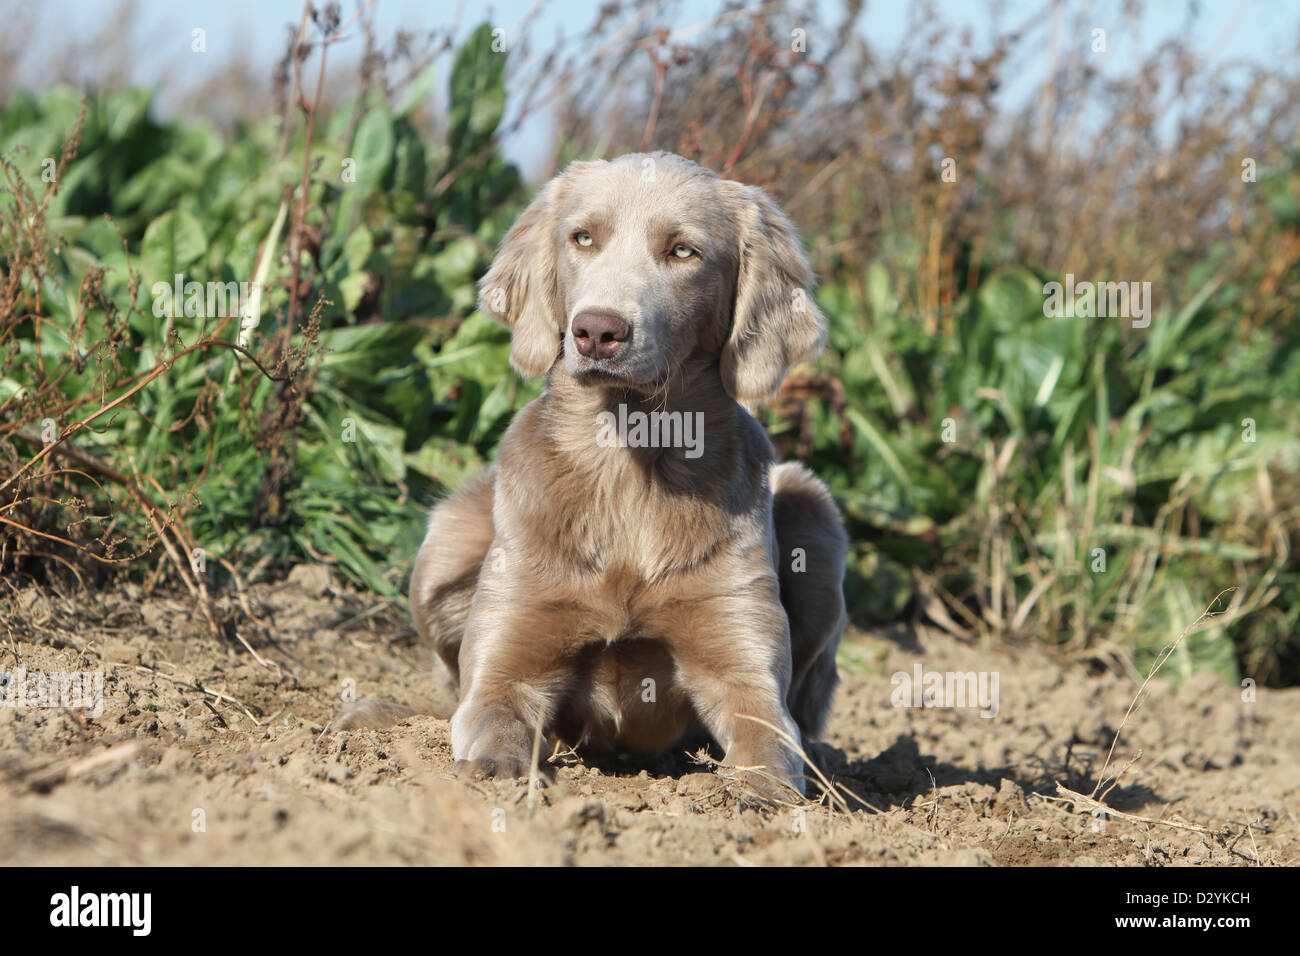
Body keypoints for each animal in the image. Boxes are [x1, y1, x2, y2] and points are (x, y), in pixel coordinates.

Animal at [403, 153, 842, 801]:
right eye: (583, 238)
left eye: (684, 251)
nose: (597, 331)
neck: (629, 465)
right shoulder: (508, 662)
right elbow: (495, 716)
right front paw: (501, 776)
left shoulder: (744, 665)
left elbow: (768, 741)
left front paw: (762, 797)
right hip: (446, 543)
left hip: (813, 505)